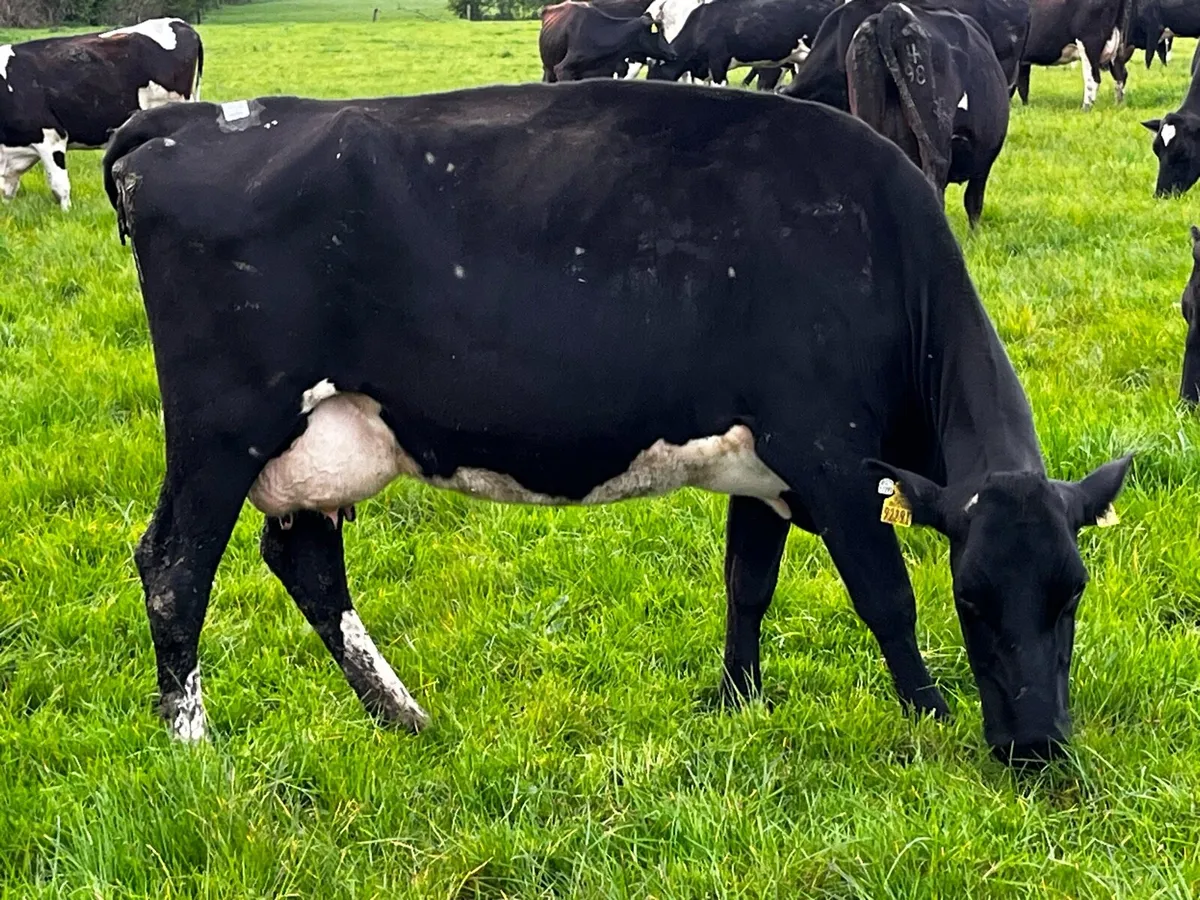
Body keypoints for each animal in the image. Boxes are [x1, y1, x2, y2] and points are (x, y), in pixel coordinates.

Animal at [103, 81, 1131, 766]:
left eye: (1074, 594)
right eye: (972, 599)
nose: (1037, 749)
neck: (878, 249)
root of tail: (189, 119)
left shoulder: (764, 464)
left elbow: (747, 584)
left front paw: (737, 701)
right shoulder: (831, 455)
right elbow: (885, 596)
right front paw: (928, 714)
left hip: (312, 443)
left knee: (306, 563)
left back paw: (405, 717)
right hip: (223, 426)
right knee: (175, 565)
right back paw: (192, 742)